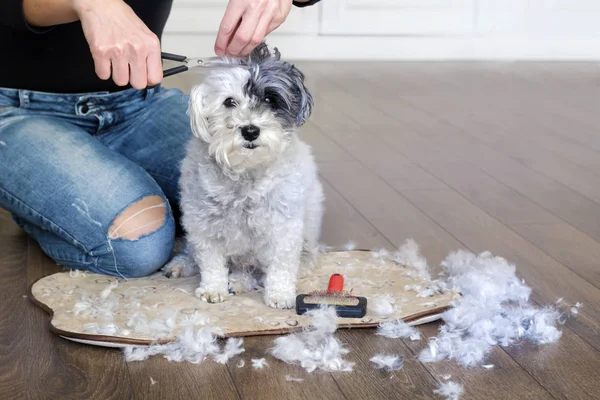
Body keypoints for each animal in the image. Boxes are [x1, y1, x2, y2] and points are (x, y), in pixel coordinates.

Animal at [163, 43, 324, 310]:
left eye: (269, 99)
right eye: (229, 102)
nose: (250, 130)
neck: (245, 172)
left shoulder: (284, 230)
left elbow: (280, 267)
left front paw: (280, 295)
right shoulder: (203, 226)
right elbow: (211, 263)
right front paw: (213, 289)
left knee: (256, 271)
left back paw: (239, 281)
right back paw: (183, 264)